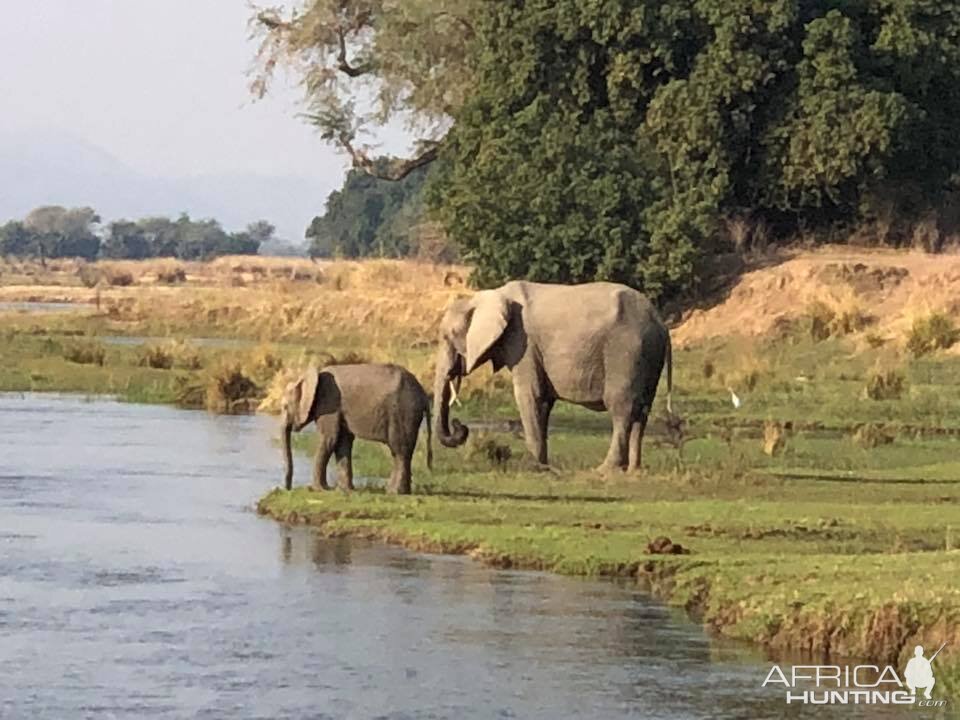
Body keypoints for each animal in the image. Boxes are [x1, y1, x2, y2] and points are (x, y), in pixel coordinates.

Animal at [282, 366, 432, 496]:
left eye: (284, 407)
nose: (288, 489)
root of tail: (424, 395)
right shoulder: (338, 410)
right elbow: (342, 443)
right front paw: (344, 490)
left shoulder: (329, 404)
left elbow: (329, 439)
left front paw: (319, 490)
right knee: (401, 452)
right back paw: (398, 492)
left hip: (403, 413)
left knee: (399, 450)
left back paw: (394, 492)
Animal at [436, 282, 676, 472]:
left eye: (447, 337)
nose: (460, 426)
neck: (486, 296)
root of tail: (661, 323)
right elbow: (543, 401)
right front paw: (543, 465)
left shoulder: (523, 344)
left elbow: (529, 395)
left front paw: (532, 467)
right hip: (648, 356)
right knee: (642, 411)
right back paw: (633, 470)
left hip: (626, 352)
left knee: (621, 408)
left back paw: (605, 469)